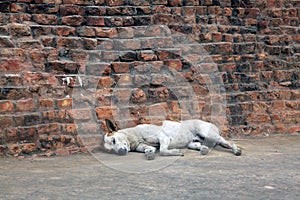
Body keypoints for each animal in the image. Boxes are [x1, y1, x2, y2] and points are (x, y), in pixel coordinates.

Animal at [103, 119, 241, 159]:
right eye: (112, 150)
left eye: (114, 140)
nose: (120, 152)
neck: (135, 136)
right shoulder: (143, 146)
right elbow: (150, 149)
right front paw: (149, 153)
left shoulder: (163, 137)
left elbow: (163, 151)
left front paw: (176, 152)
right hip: (193, 143)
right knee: (201, 146)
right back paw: (204, 149)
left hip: (210, 134)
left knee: (229, 143)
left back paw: (236, 150)